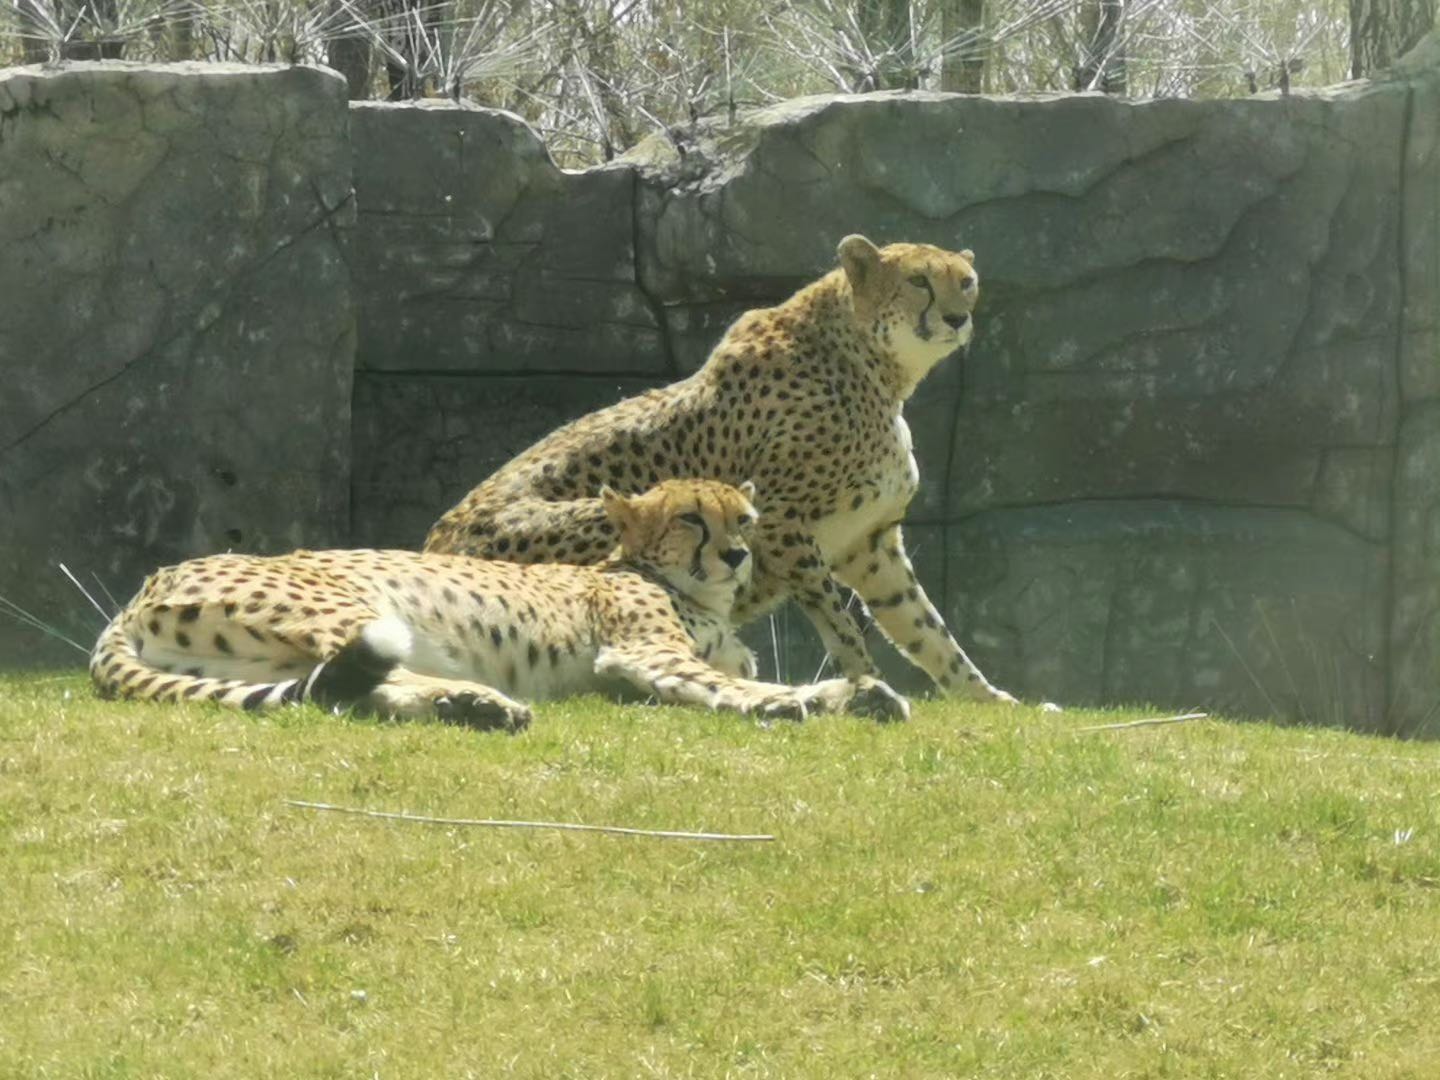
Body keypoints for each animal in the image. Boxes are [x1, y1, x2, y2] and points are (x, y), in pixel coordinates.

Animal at [90, 480, 904, 728]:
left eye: (743, 519)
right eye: (690, 520)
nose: (737, 556)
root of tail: (144, 586)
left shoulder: (638, 675)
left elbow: (736, 678)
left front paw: (855, 692)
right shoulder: (638, 651)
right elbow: (725, 682)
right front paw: (794, 702)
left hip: (251, 662)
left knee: (335, 693)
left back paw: (467, 707)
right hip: (352, 608)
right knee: (374, 672)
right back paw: (480, 700)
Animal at [420, 236, 1019, 705]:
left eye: (966, 281)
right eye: (918, 280)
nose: (957, 317)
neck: (874, 365)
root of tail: (434, 541)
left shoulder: (869, 543)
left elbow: (924, 627)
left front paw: (988, 698)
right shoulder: (781, 524)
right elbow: (840, 621)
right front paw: (869, 684)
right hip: (608, 514)